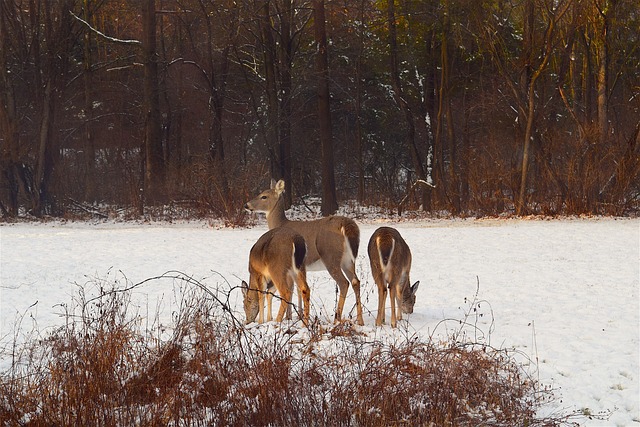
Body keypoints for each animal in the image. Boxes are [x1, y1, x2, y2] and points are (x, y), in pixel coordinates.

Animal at [245, 179, 364, 326]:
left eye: (264, 196)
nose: (246, 205)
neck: (280, 224)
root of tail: (348, 226)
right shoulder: (300, 267)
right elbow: (298, 288)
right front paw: (298, 316)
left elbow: (291, 289)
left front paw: (290, 317)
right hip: (348, 260)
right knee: (355, 281)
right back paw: (360, 320)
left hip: (330, 257)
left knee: (343, 283)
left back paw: (337, 319)